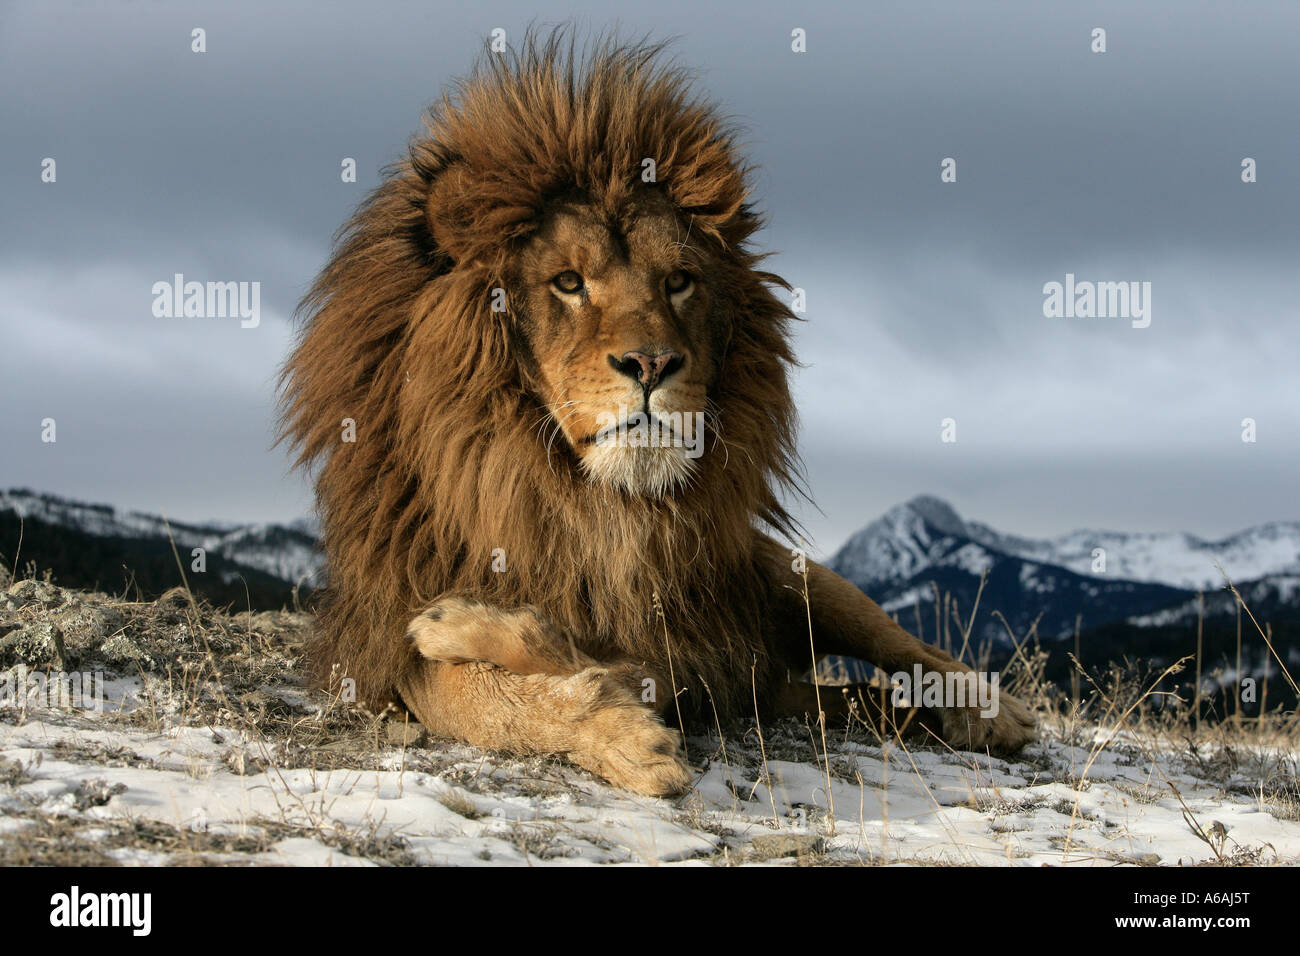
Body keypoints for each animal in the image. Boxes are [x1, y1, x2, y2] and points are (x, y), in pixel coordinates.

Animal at [282, 29, 1034, 796]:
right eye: (568, 282)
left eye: (678, 282)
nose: (651, 364)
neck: (592, 505)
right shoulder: (389, 645)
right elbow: (483, 694)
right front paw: (612, 729)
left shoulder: (689, 649)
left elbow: (583, 656)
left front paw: (473, 632)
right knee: (845, 695)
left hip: (793, 577)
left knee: (910, 647)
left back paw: (990, 711)